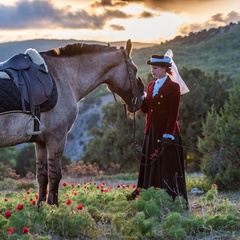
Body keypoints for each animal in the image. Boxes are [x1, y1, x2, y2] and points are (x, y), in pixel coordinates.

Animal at [0, 39, 142, 208]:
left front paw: (40, 209)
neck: (62, 77)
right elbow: (55, 175)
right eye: (134, 69)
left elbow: (42, 176)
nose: (141, 98)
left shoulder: (40, 142)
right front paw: (53, 208)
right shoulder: (57, 138)